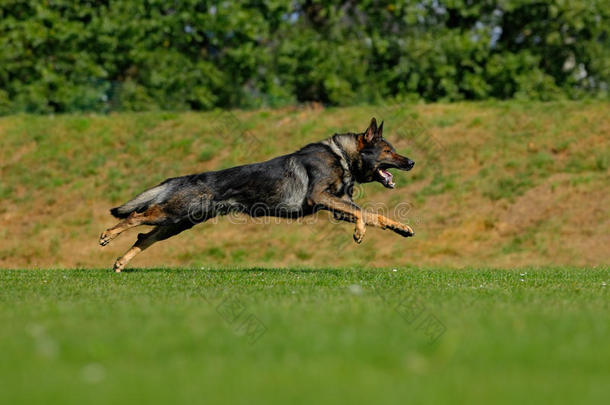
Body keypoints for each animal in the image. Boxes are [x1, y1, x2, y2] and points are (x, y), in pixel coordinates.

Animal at [100, 117, 414, 272]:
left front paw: (402, 228)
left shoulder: (338, 207)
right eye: (389, 151)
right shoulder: (321, 198)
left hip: (178, 223)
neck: (342, 156)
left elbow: (375, 215)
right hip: (173, 214)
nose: (411, 162)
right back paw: (107, 235)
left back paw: (120, 263)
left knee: (144, 237)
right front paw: (360, 233)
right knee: (136, 216)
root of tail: (183, 178)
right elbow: (363, 213)